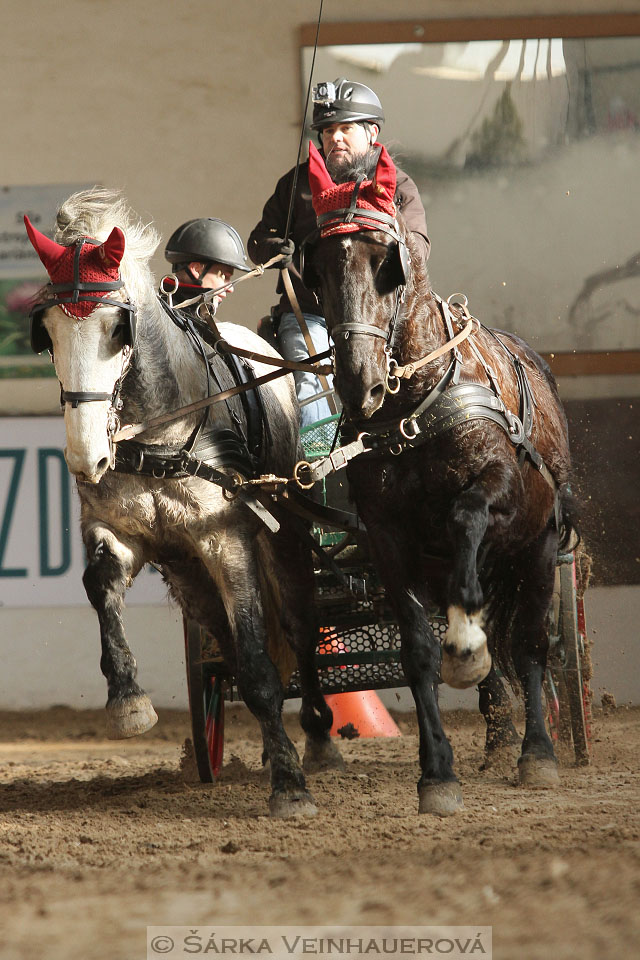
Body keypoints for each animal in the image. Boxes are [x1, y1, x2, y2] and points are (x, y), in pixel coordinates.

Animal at [302, 142, 576, 812]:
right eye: (317, 269)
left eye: (387, 264)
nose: (359, 382)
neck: (413, 408)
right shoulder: (387, 538)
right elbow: (419, 652)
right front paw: (436, 774)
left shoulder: (498, 489)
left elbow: (466, 517)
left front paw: (467, 647)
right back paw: (498, 738)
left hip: (539, 545)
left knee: (531, 644)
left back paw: (535, 751)